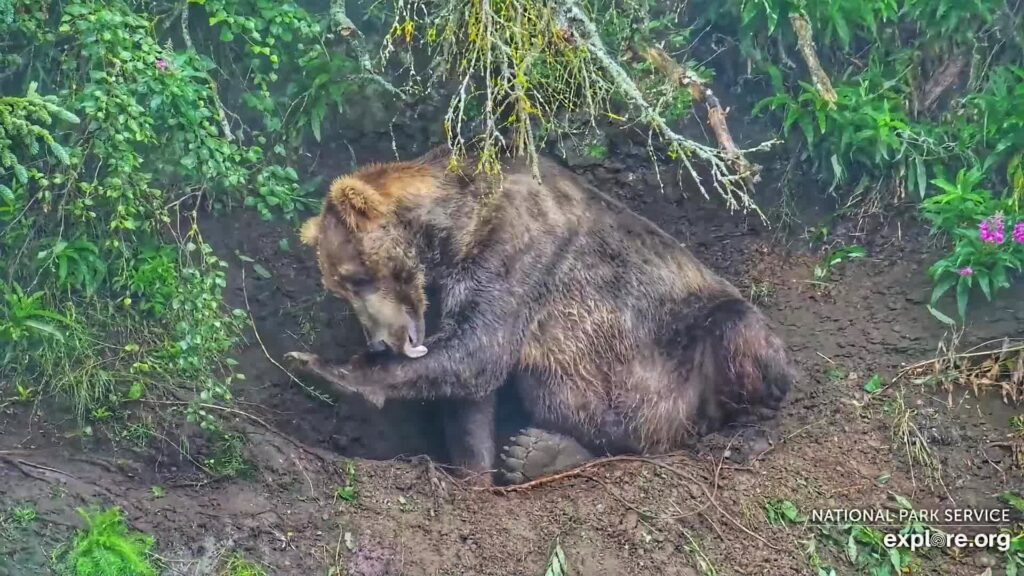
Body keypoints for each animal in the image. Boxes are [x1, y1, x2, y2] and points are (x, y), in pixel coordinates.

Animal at [284, 144, 794, 483]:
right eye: (340, 287)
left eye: (356, 277)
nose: (379, 340)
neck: (454, 230)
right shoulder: (463, 283)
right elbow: (471, 391)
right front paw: (474, 471)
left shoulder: (521, 249)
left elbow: (479, 351)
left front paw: (326, 370)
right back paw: (535, 453)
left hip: (688, 346)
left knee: (740, 337)